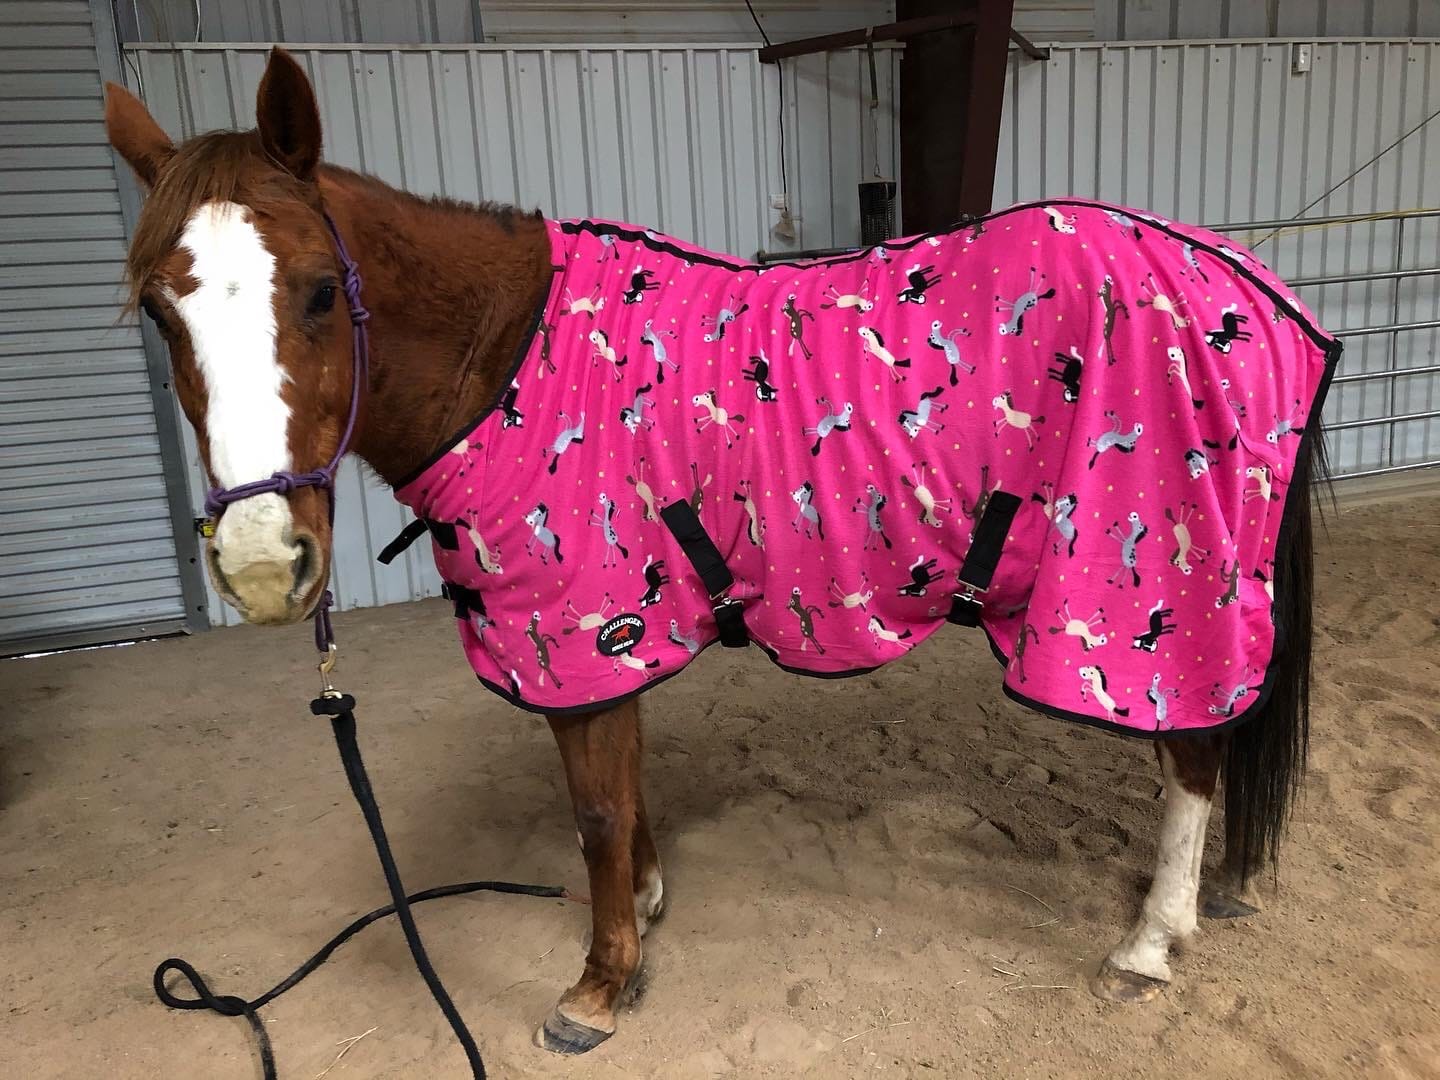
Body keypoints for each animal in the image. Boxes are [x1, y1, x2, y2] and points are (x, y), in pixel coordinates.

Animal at [104, 48, 1337, 1060]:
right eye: (157, 313)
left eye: (320, 291)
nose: (261, 565)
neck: (514, 361)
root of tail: (1248, 285)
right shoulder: (613, 637)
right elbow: (626, 792)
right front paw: (645, 910)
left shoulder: (582, 627)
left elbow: (597, 813)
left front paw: (598, 988)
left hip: (1165, 599)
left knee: (1191, 751)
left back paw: (1149, 943)